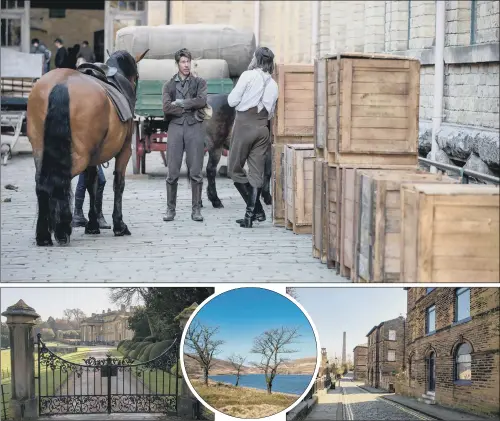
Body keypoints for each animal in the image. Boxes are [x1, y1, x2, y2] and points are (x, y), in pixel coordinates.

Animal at [27, 49, 148, 246]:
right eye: (137, 76)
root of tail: (62, 83)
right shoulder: (125, 151)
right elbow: (118, 184)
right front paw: (119, 225)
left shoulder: (93, 157)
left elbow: (92, 183)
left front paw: (92, 224)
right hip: (78, 156)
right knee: (61, 181)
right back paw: (62, 229)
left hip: (41, 151)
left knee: (42, 184)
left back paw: (44, 234)